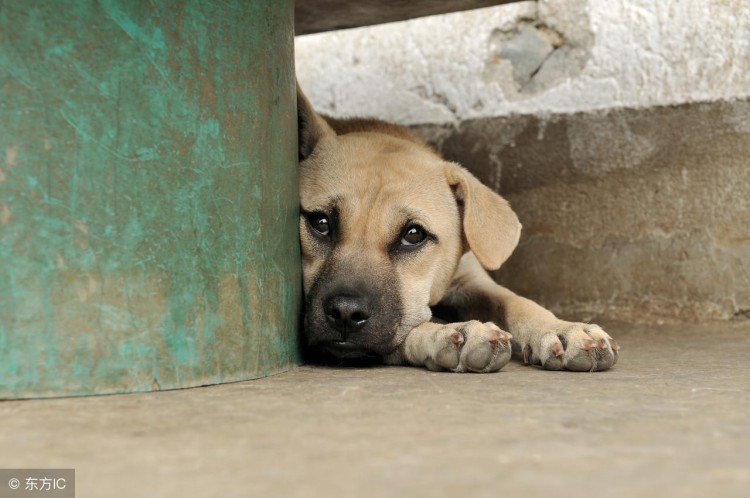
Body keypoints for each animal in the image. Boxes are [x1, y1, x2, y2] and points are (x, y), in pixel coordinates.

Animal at [296, 85, 620, 372]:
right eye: (321, 222)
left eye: (414, 234)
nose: (345, 313)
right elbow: (408, 330)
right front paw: (448, 335)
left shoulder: (470, 279)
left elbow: (515, 301)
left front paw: (561, 328)